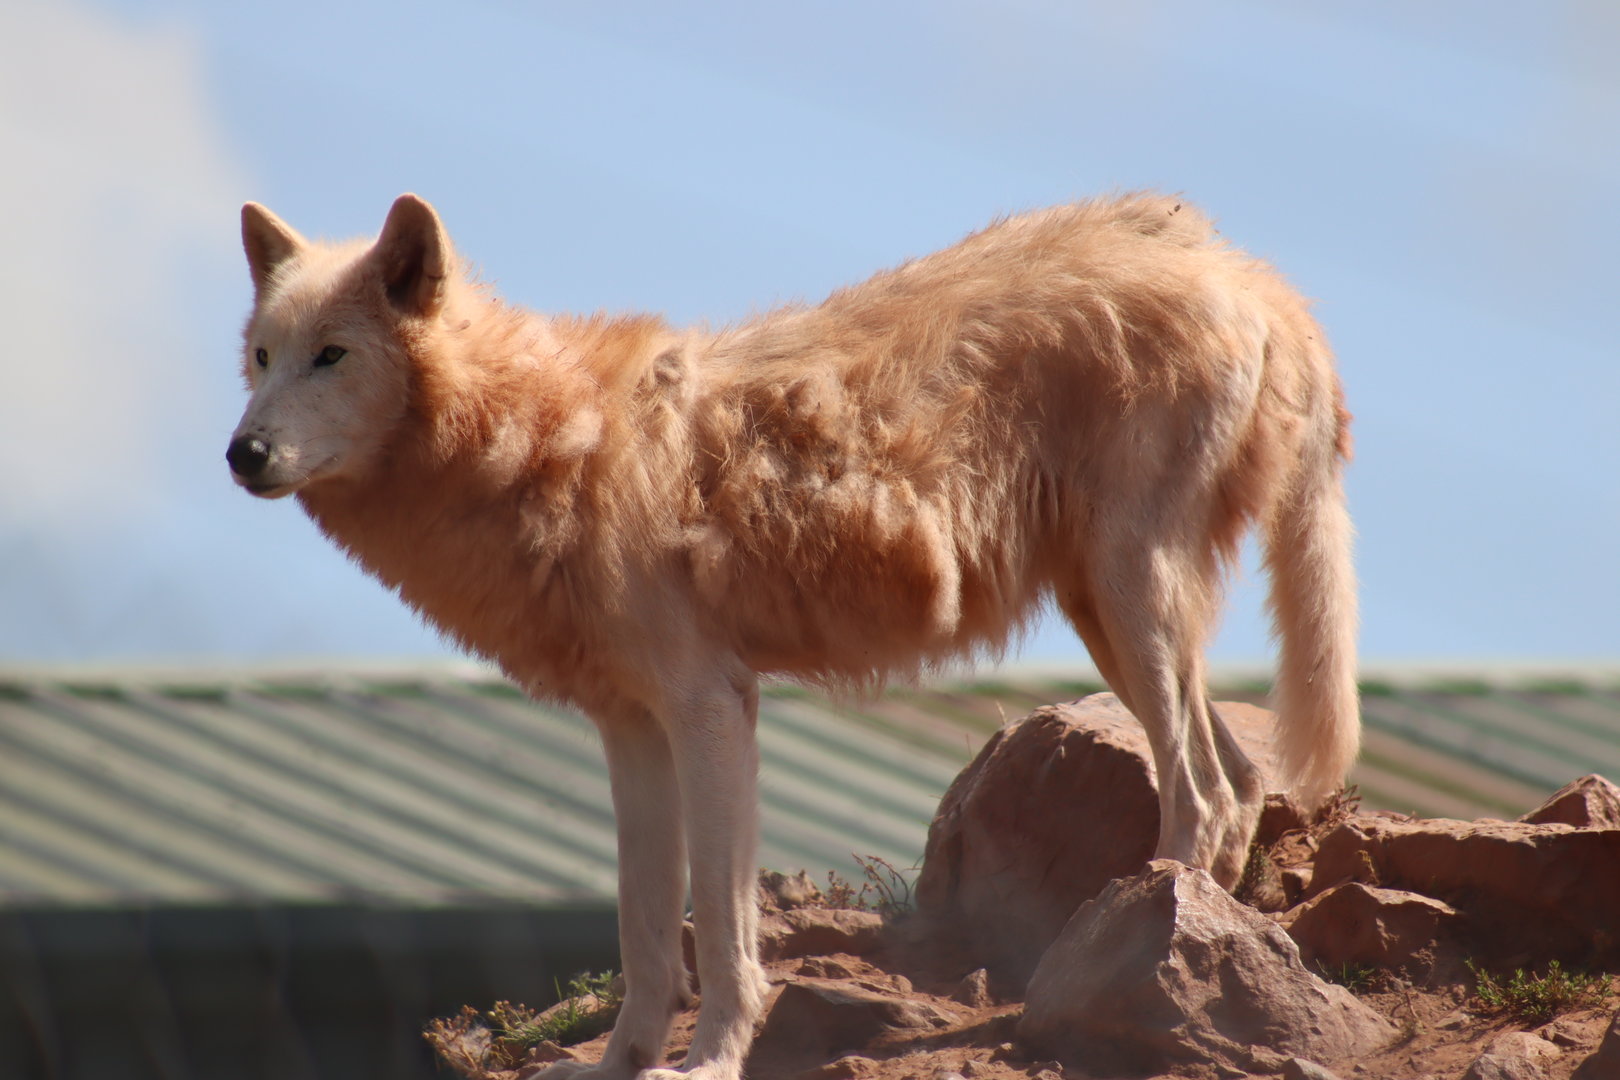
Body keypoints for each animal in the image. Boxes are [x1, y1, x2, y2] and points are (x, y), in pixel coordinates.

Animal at [227, 191, 1357, 1079]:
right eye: (260, 359)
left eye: (332, 357)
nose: (242, 453)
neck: (548, 445)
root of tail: (1255, 280)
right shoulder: (629, 731)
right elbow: (646, 931)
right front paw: (619, 1064)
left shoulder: (711, 707)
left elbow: (724, 935)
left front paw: (712, 1062)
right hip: (1108, 619)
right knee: (1239, 782)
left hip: (1128, 602)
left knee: (1202, 793)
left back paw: (1127, 956)